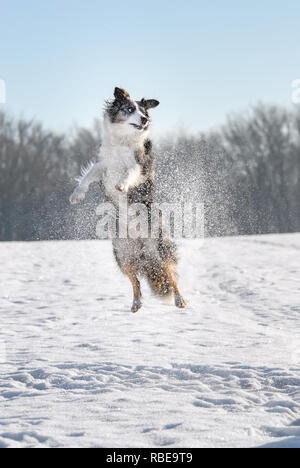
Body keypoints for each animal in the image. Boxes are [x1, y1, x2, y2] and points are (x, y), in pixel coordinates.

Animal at [69, 88, 185, 314]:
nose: (145, 120)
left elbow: (130, 172)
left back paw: (179, 300)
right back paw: (136, 304)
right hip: (122, 254)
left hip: (158, 248)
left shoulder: (140, 165)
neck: (122, 139)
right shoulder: (103, 165)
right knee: (135, 281)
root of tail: (141, 248)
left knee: (171, 275)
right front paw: (76, 194)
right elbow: (86, 177)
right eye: (130, 109)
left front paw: (121, 184)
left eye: (144, 111)